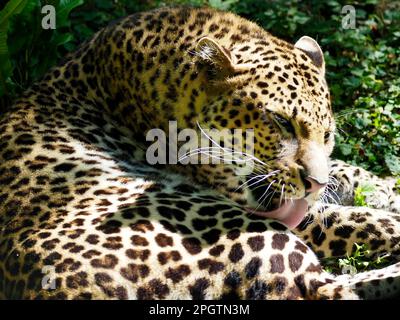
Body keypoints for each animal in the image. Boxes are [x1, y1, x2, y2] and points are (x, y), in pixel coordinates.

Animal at [0, 5, 400, 300]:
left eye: (328, 134)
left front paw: (384, 189)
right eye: (281, 122)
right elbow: (352, 219)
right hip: (243, 229)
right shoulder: (268, 206)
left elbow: (345, 170)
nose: (314, 184)